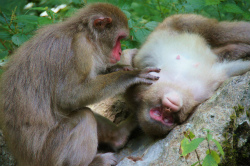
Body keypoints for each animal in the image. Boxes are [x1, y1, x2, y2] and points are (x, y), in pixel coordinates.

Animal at [0, 2, 160, 166]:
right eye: (119, 39)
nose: (121, 52)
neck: (86, 35)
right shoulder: (80, 49)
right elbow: (69, 96)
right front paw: (130, 75)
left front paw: (120, 67)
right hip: (50, 154)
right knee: (84, 116)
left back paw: (119, 135)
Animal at [122, 14, 250, 137]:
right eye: (163, 115)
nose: (169, 107)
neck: (178, 85)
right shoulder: (205, 90)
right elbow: (231, 69)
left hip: (175, 22)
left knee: (217, 31)